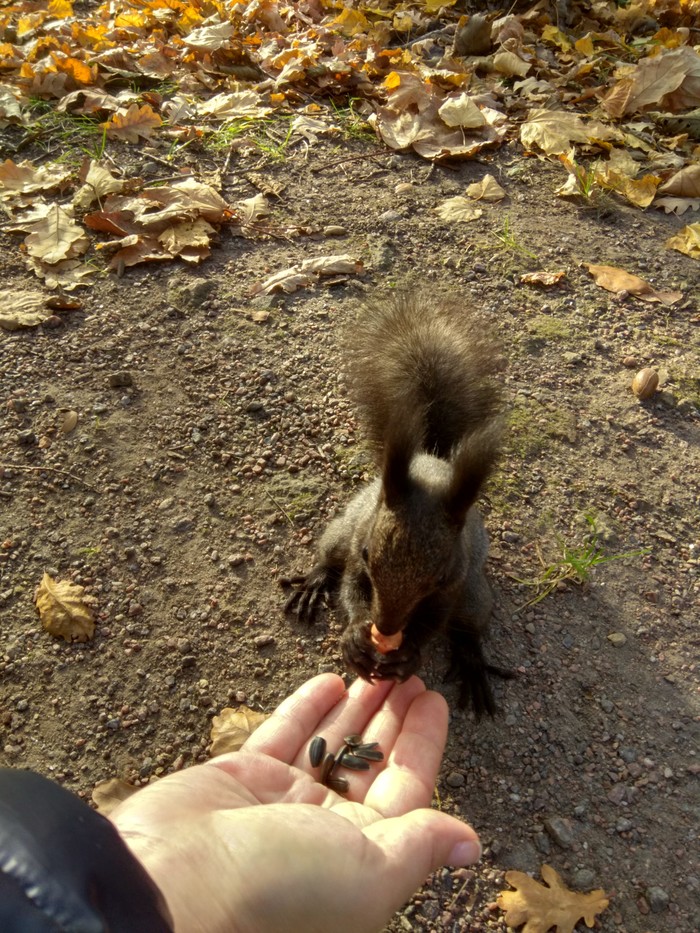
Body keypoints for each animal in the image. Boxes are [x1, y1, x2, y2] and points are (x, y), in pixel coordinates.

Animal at [284, 292, 508, 712]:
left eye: (439, 576)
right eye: (368, 554)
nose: (386, 627)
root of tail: (432, 457)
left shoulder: (453, 582)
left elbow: (434, 620)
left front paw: (409, 653)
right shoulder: (358, 549)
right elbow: (351, 588)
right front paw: (355, 637)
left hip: (473, 592)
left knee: (468, 626)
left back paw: (471, 660)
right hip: (345, 527)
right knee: (330, 555)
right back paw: (315, 581)